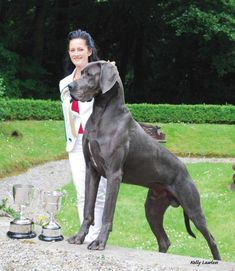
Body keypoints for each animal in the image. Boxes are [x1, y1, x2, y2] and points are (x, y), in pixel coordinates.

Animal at [67, 60, 221, 260]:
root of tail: (185, 169)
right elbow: (88, 210)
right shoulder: (91, 171)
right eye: (81, 73)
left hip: (193, 208)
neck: (102, 114)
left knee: (211, 239)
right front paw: (79, 237)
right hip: (152, 209)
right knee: (164, 240)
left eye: (89, 75)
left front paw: (100, 242)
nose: (69, 87)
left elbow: (107, 213)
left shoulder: (114, 174)